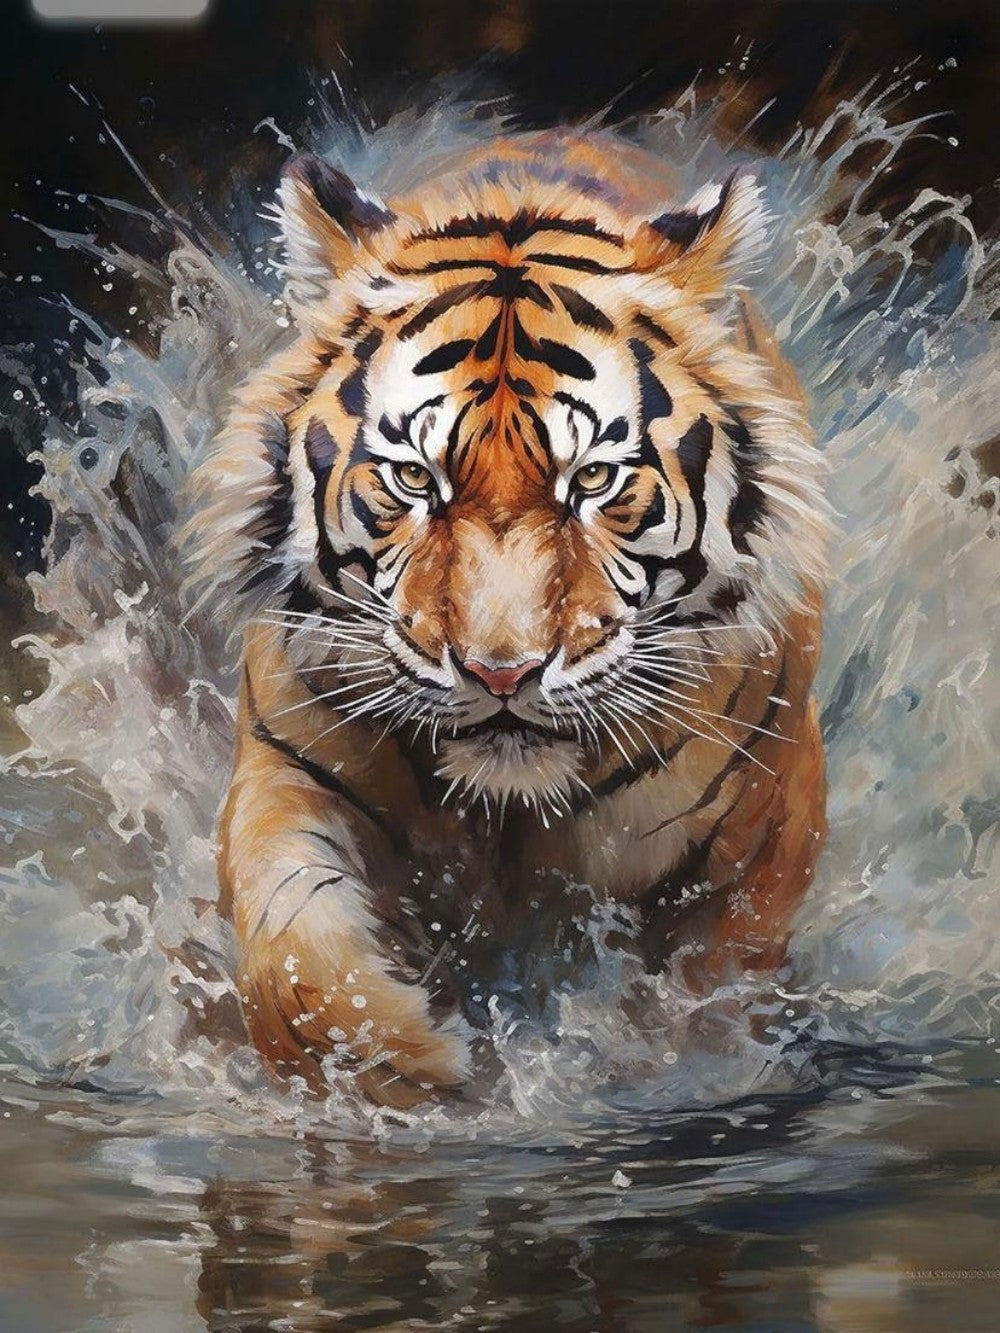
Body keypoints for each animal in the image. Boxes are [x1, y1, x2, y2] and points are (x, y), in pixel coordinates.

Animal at [188, 131, 828, 1109]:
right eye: (415, 479)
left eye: (593, 480)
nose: (501, 672)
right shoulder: (286, 764)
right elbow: (298, 954)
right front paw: (405, 1060)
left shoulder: (761, 829)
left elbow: (704, 995)